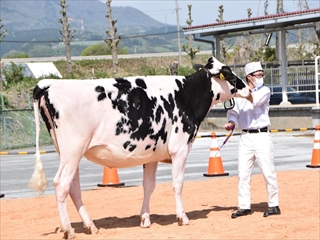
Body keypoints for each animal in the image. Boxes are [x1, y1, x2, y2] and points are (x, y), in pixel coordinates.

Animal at [29, 56, 250, 238]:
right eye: (229, 74)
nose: (248, 88)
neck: (186, 95)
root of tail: (48, 84)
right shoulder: (179, 148)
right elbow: (178, 183)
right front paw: (182, 217)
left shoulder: (152, 154)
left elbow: (148, 186)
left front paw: (145, 219)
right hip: (73, 150)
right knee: (61, 184)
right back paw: (69, 230)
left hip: (68, 153)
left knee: (73, 187)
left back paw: (90, 225)